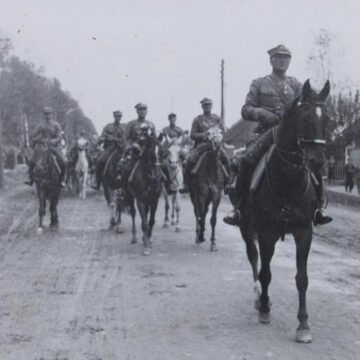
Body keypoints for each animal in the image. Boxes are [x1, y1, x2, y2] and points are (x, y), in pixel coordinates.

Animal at [240, 80, 330, 344]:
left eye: (327, 119)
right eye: (305, 118)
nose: (317, 162)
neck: (287, 182)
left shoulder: (304, 232)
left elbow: (302, 278)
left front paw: (303, 325)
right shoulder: (266, 233)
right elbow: (266, 273)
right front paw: (265, 310)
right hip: (247, 227)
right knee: (254, 259)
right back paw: (259, 298)